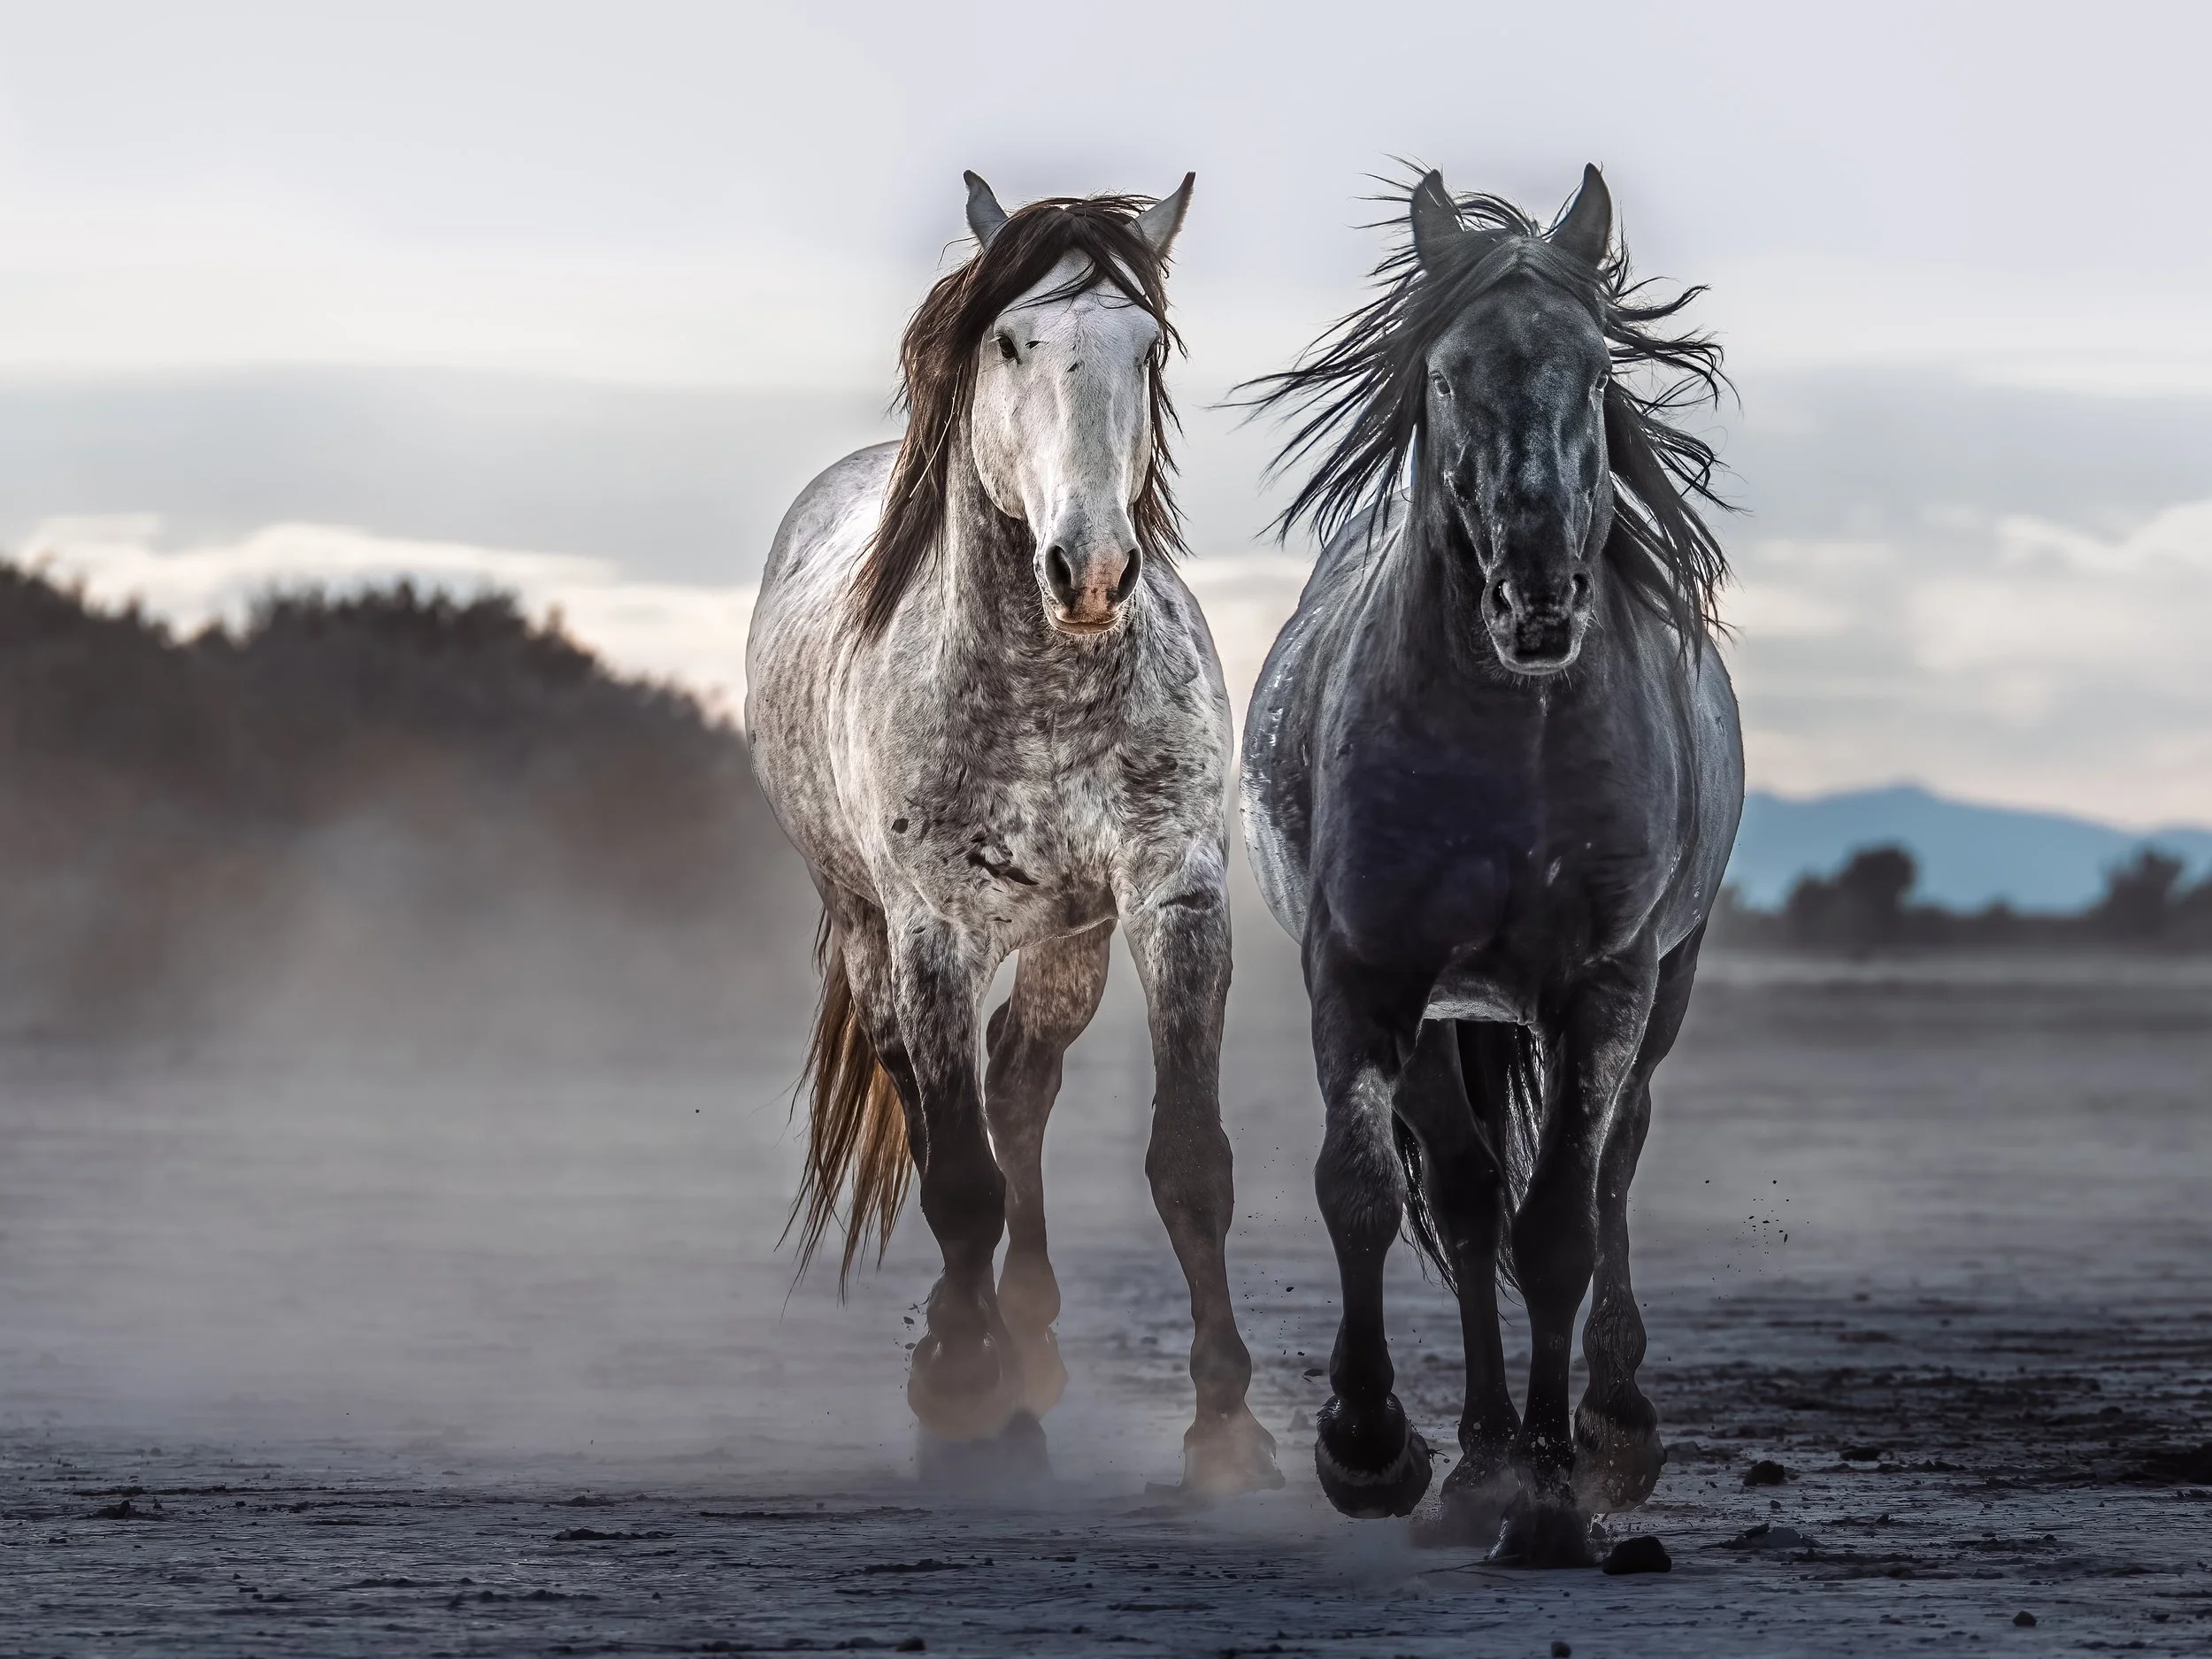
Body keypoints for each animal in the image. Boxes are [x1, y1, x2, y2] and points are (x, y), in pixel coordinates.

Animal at [745, 172, 1282, 1494]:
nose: (1089, 568)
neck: (1047, 691)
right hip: (867, 926)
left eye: (1149, 346)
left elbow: (1188, 1160)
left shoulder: (1172, 899)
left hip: (1068, 939)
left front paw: (1225, 1424)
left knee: (1021, 1081)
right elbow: (959, 1184)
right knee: (930, 1089)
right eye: (1007, 340)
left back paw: (1029, 1334)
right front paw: (971, 1403)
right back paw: (968, 1348)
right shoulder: (933, 929)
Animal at [1237, 165, 1743, 1561]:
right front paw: (1371, 1446)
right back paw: (1472, 1460)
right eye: (1450, 377)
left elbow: (1561, 1223)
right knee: (1464, 1206)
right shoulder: (1365, 974)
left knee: (1608, 1176)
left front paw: (1560, 1492)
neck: (1510, 741)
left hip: (1660, 995)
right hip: (1446, 1017)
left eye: (1593, 368)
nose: (1537, 597)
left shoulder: (1606, 985)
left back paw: (1608, 1428)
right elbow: (1362, 1189)